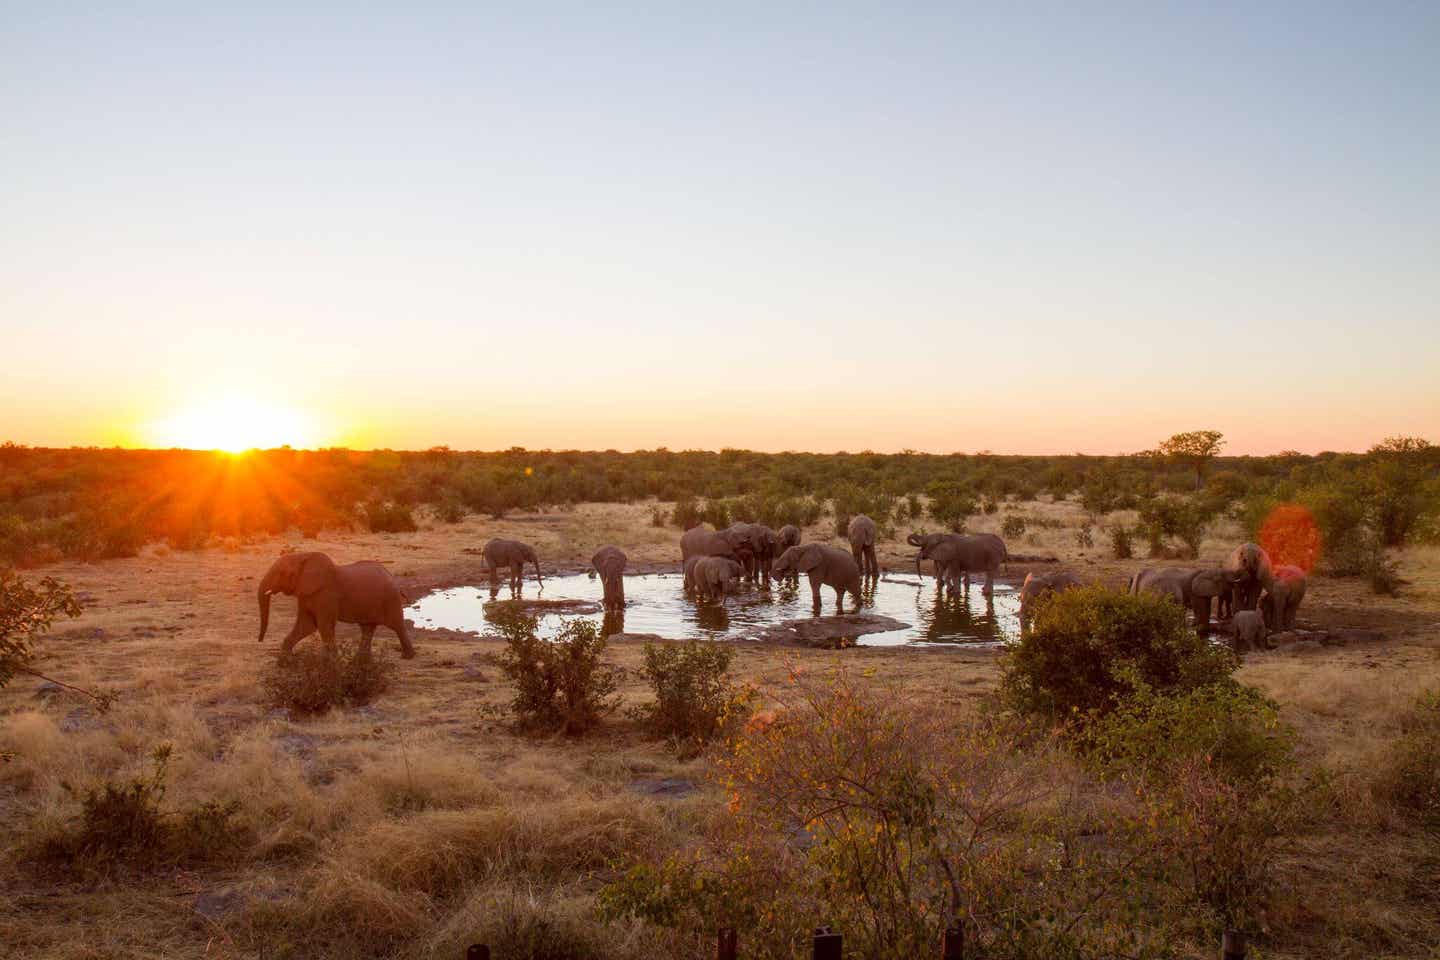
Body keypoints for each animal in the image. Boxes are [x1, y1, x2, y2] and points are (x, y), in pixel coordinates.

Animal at [256, 555, 414, 662]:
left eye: (280, 573)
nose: (260, 640)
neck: (303, 555)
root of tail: (391, 575)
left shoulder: (327, 594)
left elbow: (323, 626)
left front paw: (332, 664)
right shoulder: (306, 594)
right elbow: (306, 626)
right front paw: (285, 661)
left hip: (391, 599)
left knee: (397, 625)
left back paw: (407, 656)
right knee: (367, 628)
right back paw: (360, 661)